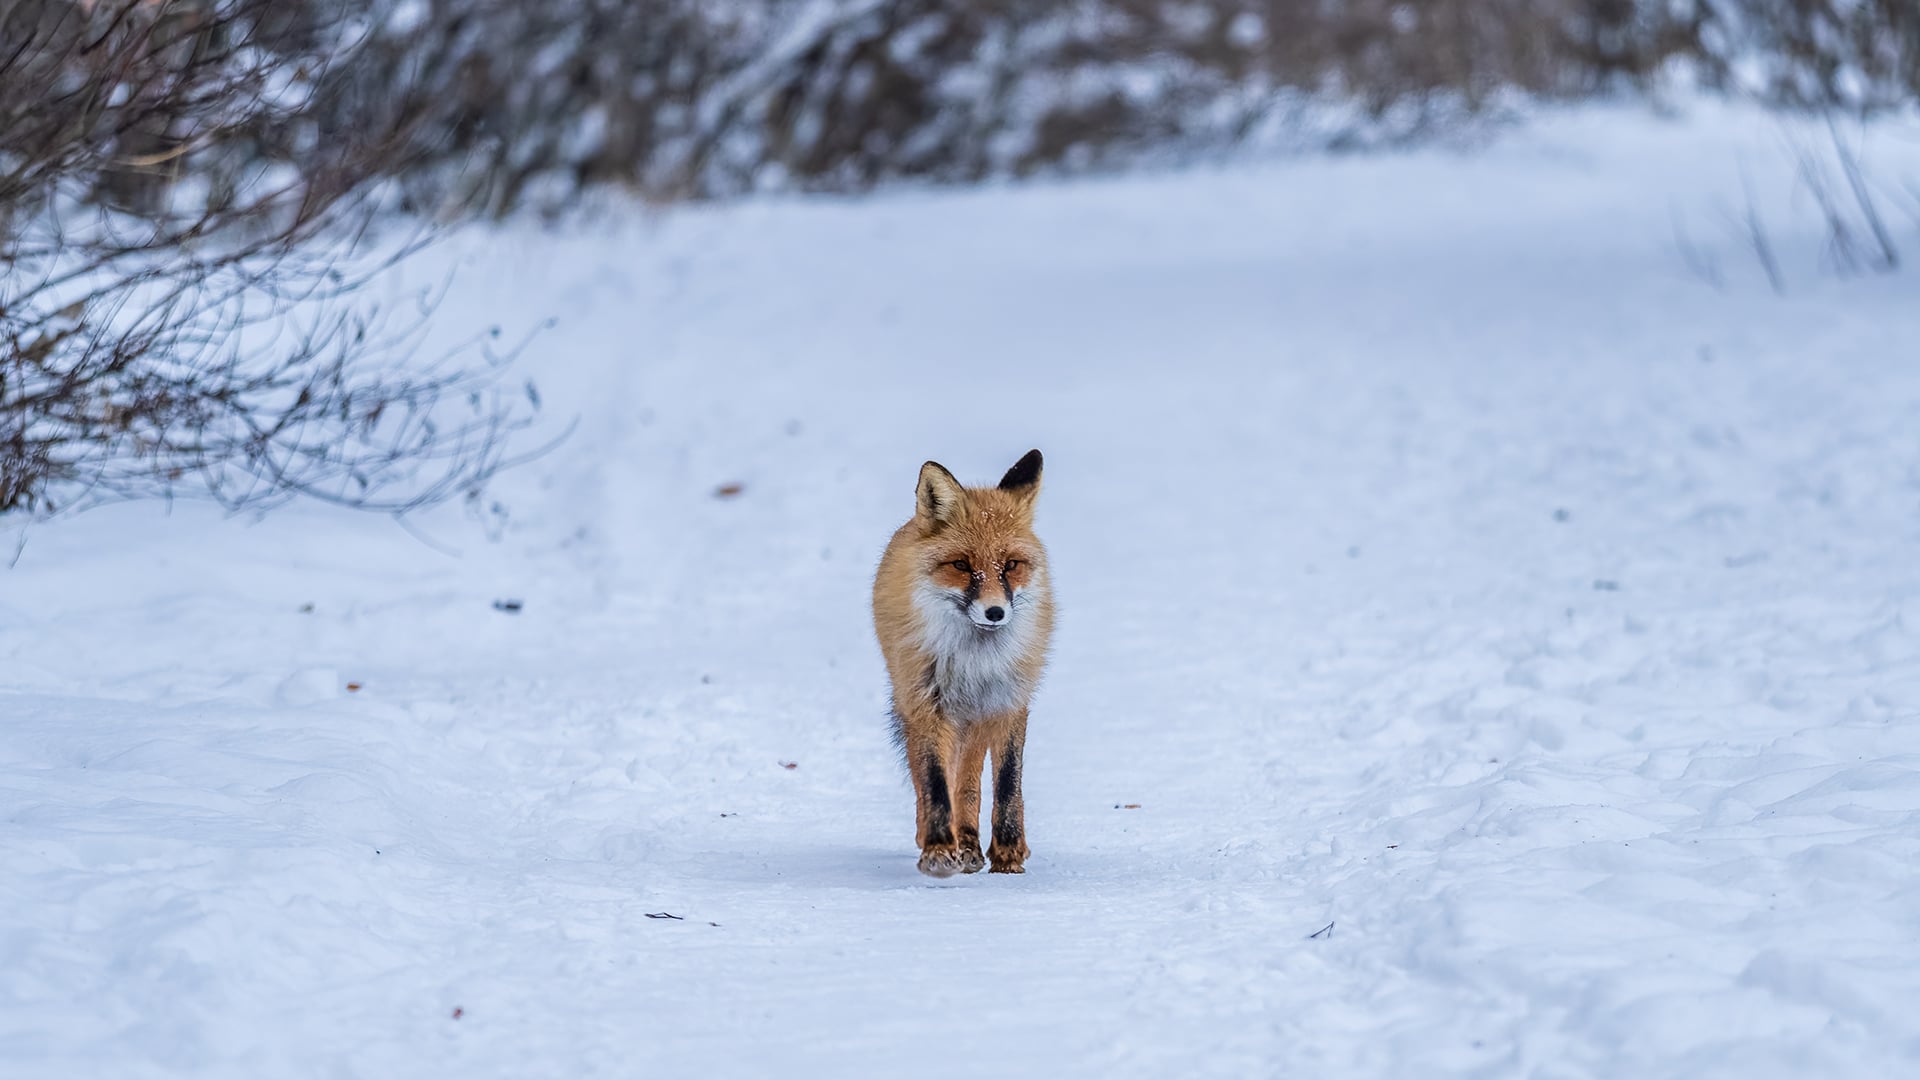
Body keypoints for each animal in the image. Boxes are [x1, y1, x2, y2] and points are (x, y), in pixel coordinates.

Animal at [872, 449, 1054, 877]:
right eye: (962, 565)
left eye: (1011, 565)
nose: (995, 612)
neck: (976, 662)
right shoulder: (926, 701)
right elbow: (935, 781)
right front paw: (938, 848)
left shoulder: (1008, 701)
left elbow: (1007, 784)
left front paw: (1008, 853)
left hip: (974, 720)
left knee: (969, 781)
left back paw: (970, 842)